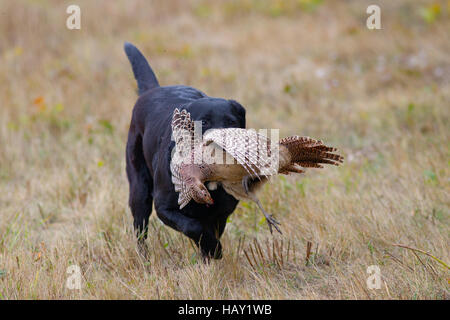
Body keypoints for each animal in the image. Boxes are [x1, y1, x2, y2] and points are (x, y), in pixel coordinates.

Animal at [124, 42, 246, 258]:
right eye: (203, 123)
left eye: (232, 122)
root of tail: (153, 90)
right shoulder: (165, 207)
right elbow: (193, 227)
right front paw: (213, 249)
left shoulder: (222, 211)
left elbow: (210, 228)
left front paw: (209, 252)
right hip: (139, 190)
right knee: (140, 229)